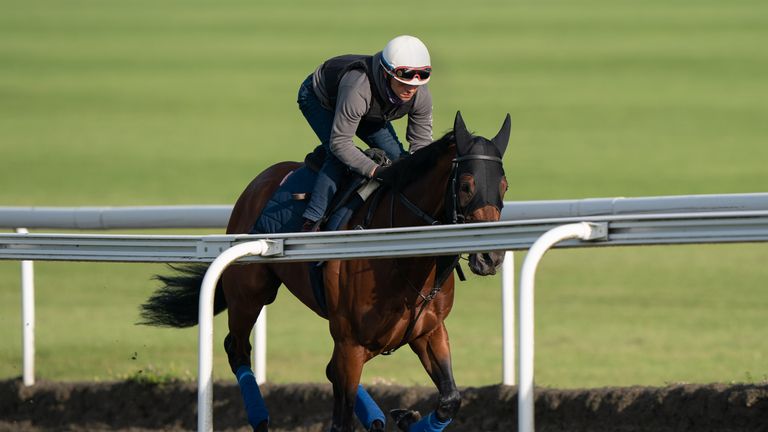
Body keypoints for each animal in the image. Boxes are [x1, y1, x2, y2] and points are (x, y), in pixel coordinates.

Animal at [140, 112, 510, 432]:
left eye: (504, 185)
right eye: (466, 185)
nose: (491, 257)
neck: (400, 257)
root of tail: (261, 180)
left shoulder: (428, 331)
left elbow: (450, 399)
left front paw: (406, 417)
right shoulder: (351, 343)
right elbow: (341, 421)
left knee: (329, 369)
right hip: (251, 293)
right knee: (238, 348)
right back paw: (261, 419)